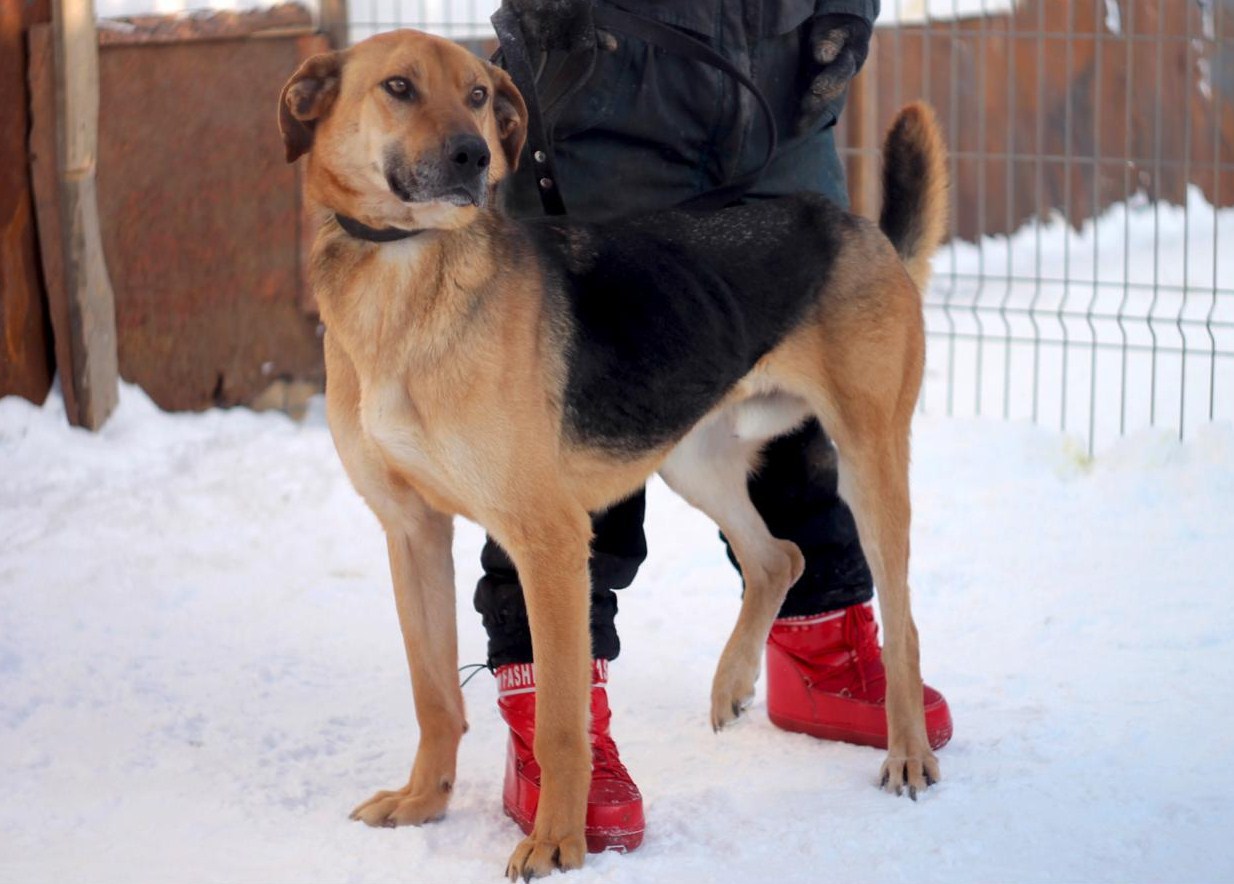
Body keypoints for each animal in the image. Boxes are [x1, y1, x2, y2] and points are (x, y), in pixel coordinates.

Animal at [280, 25, 947, 879]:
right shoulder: (413, 531)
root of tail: (860, 227)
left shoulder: (549, 540)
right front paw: (423, 802)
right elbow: (434, 695)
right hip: (690, 459)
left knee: (902, 620)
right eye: (398, 87)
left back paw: (909, 752)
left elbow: (563, 717)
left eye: (475, 95)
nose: (473, 157)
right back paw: (734, 684)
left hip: (868, 462)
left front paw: (559, 840)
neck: (408, 267)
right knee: (780, 558)